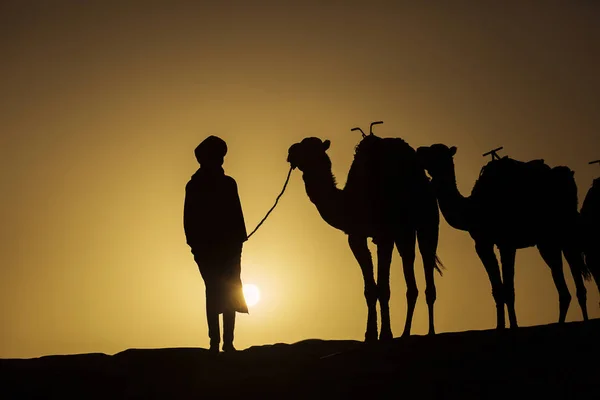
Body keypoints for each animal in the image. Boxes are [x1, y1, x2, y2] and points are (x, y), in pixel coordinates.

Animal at [286, 124, 446, 340]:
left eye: (311, 149)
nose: (290, 152)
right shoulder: (356, 236)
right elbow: (370, 289)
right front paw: (370, 335)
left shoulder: (385, 234)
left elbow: (384, 288)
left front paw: (385, 334)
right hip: (404, 233)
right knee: (410, 272)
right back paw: (405, 333)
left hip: (428, 221)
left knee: (427, 263)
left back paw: (430, 332)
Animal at [414, 143, 592, 328]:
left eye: (436, 151)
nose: (418, 150)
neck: (473, 209)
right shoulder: (482, 243)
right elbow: (498, 289)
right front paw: (500, 326)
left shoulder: (507, 242)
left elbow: (509, 289)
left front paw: (513, 326)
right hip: (547, 242)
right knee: (563, 288)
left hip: (566, 234)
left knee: (577, 281)